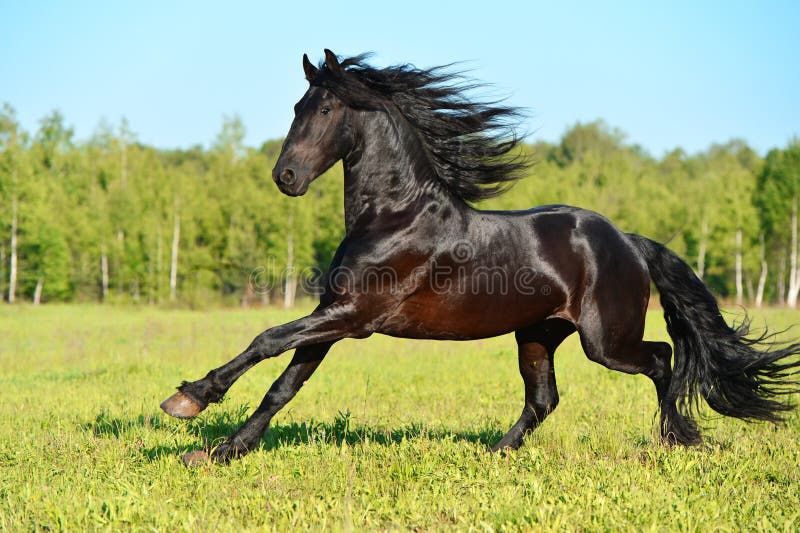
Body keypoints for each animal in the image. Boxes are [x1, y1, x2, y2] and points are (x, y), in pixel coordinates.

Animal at [159, 52, 796, 464]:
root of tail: (629, 241)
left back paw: (675, 439)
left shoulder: (353, 318)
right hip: (538, 333)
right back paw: (495, 452)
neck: (394, 215)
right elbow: (283, 385)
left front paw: (190, 397)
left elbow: (266, 340)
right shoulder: (333, 316)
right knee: (544, 399)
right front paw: (220, 450)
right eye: (297, 104)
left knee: (663, 360)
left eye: (324, 110)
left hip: (606, 341)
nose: (285, 177)